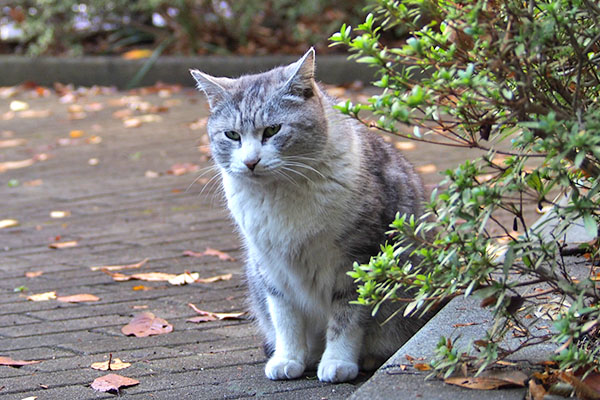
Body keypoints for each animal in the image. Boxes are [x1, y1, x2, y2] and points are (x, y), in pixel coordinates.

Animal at [191, 48, 426, 382]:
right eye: (232, 135)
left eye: (272, 130)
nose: (250, 162)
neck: (281, 196)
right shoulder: (270, 267)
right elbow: (284, 318)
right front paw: (288, 358)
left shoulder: (357, 259)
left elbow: (346, 318)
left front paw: (337, 362)